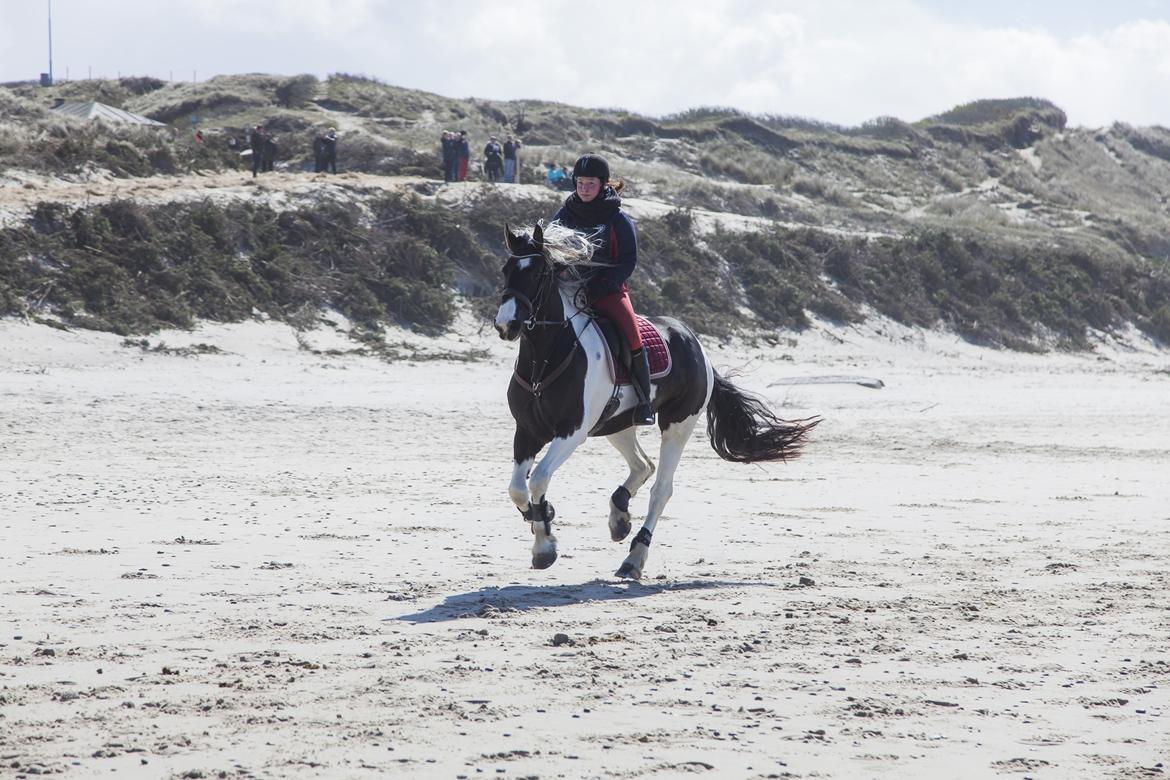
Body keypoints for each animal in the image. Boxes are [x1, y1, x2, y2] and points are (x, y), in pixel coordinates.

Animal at [496, 219, 823, 580]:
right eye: (506, 269)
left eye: (539, 273)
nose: (506, 324)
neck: (544, 359)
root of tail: (697, 346)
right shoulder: (527, 430)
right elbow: (518, 488)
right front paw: (542, 524)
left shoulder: (572, 432)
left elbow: (538, 478)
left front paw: (545, 547)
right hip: (616, 426)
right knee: (643, 465)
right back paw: (619, 517)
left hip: (677, 425)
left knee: (661, 488)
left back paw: (634, 557)